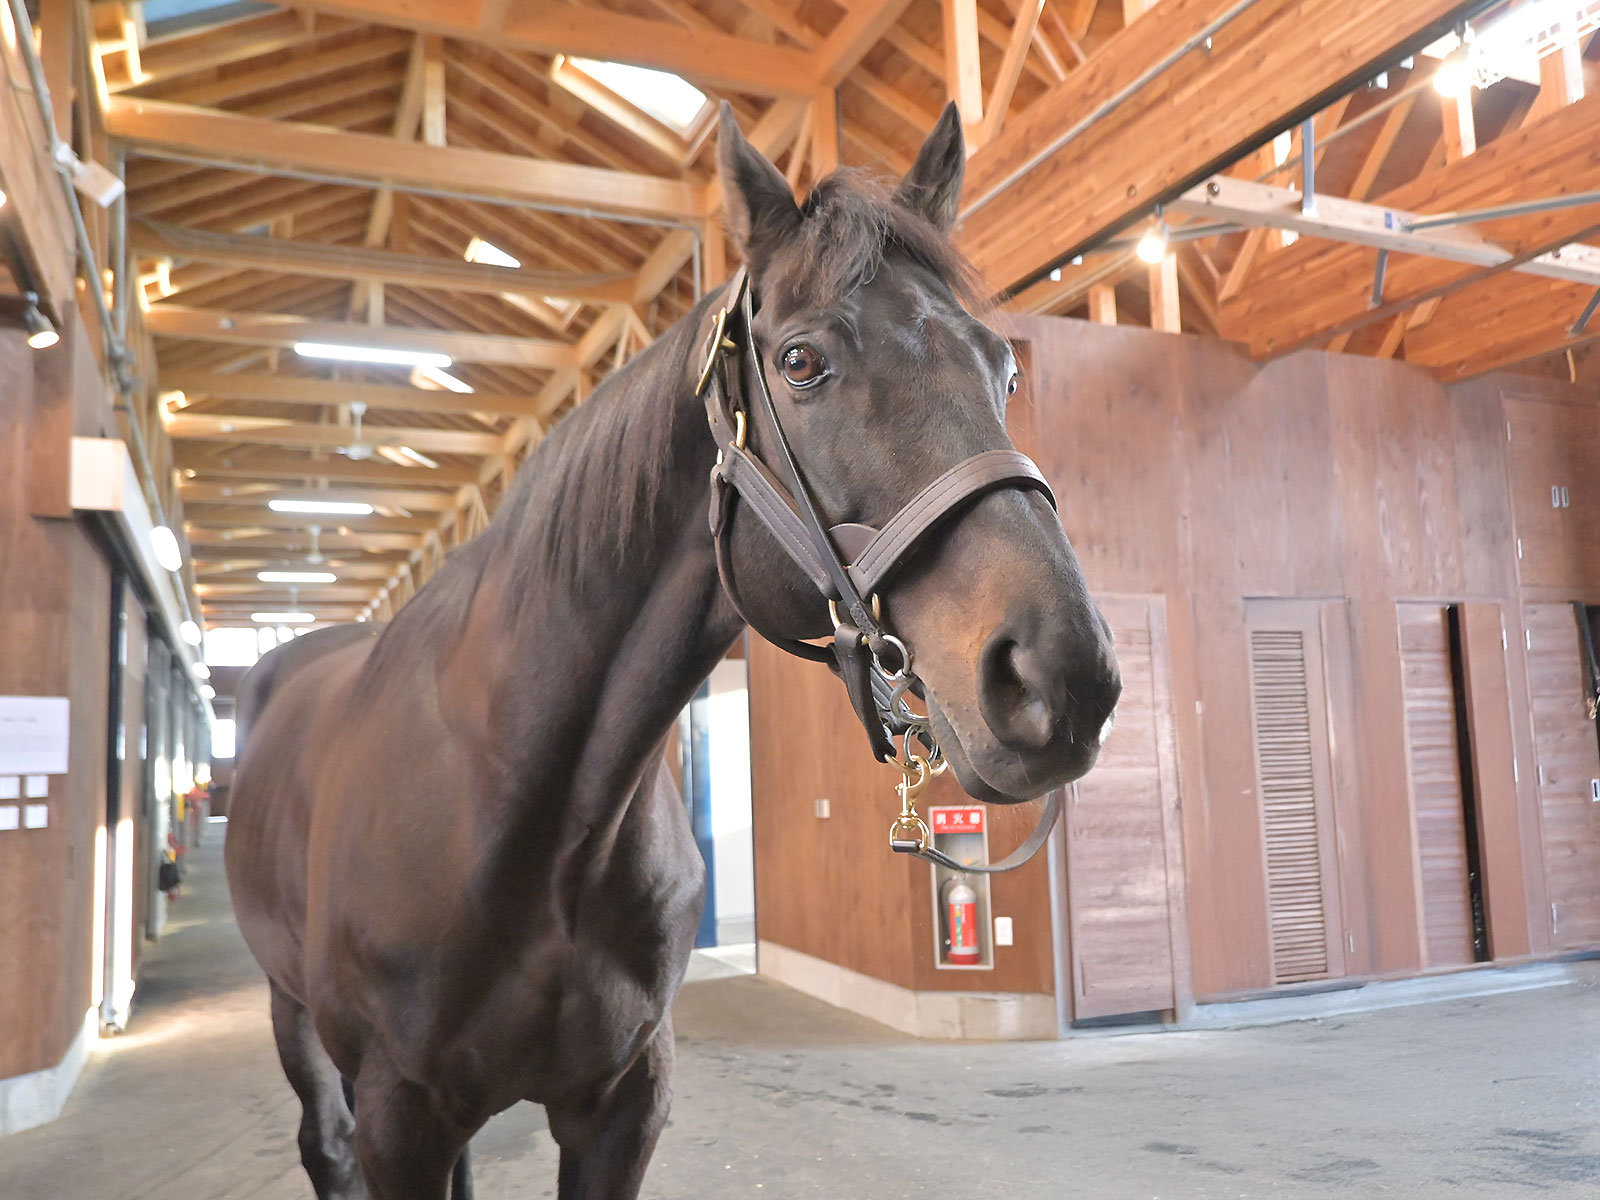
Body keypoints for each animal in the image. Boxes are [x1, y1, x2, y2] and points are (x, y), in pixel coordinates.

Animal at [224, 101, 1121, 1200]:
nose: (1059, 674)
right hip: (297, 1021)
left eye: (1006, 367)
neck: (529, 813)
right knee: (325, 1142)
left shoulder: (622, 1104)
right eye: (800, 363)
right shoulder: (400, 1113)